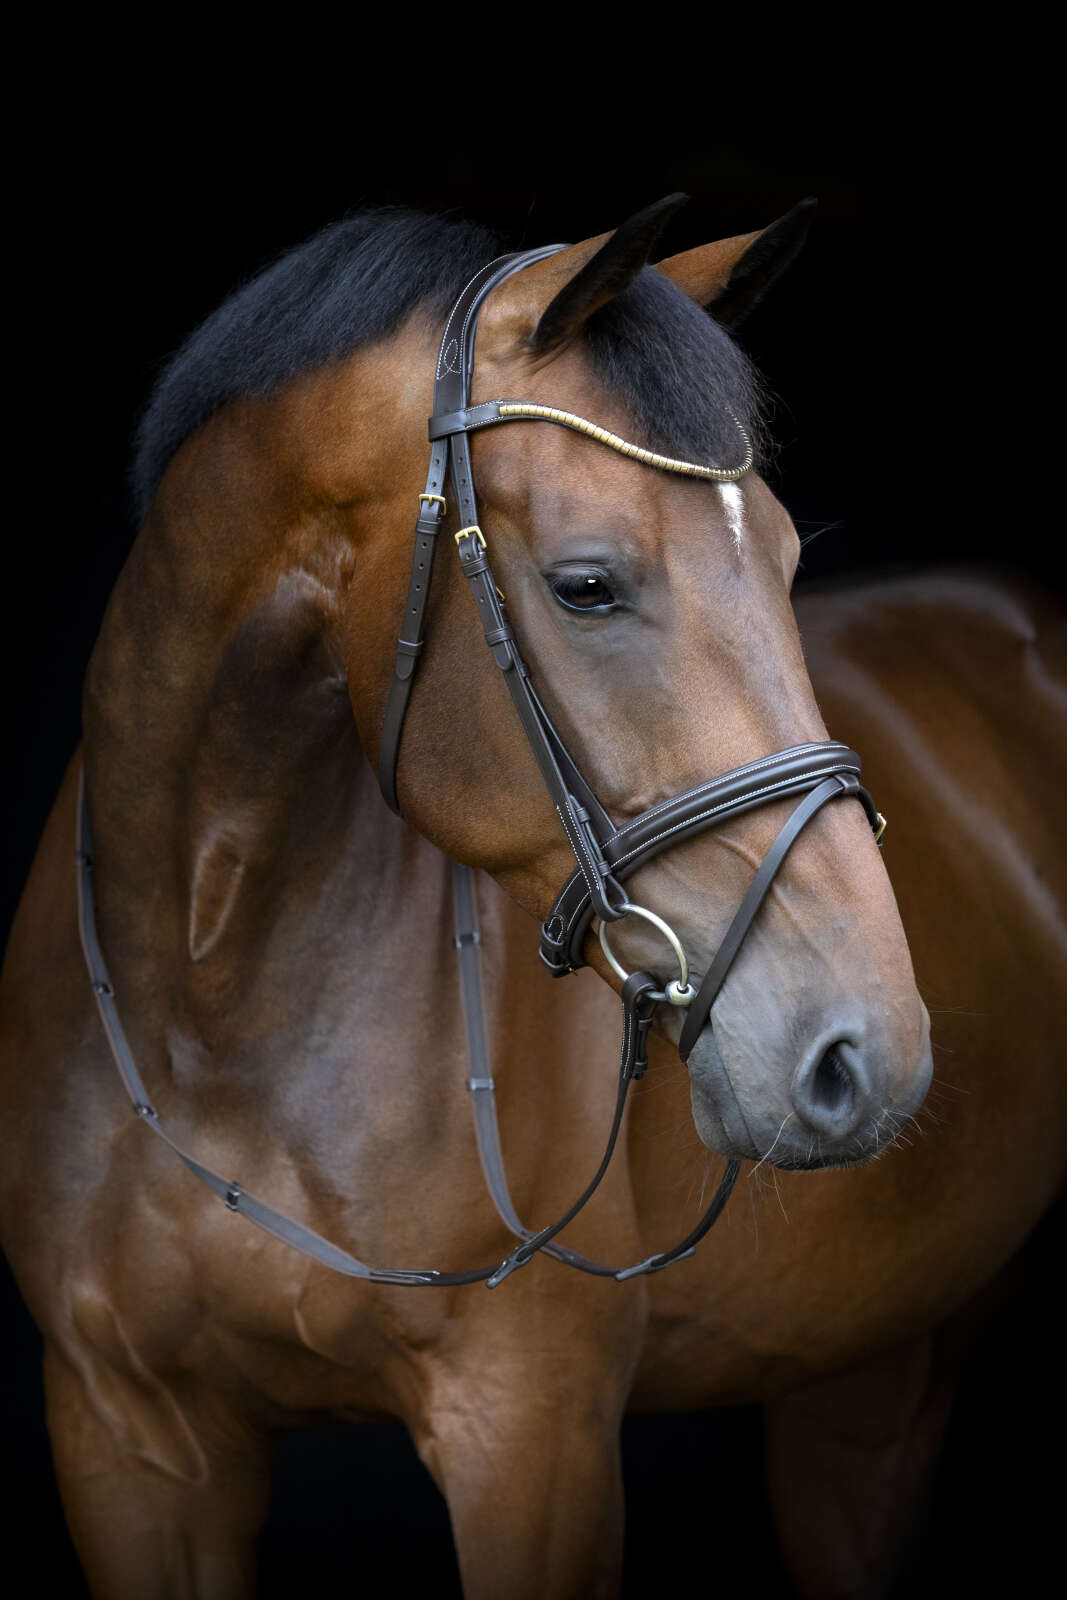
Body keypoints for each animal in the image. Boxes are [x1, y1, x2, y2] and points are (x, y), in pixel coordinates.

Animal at [1, 195, 1063, 1600]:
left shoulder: (529, 1437)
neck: (211, 995)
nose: (864, 1048)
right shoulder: (127, 1440)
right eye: (585, 583)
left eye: (786, 560)